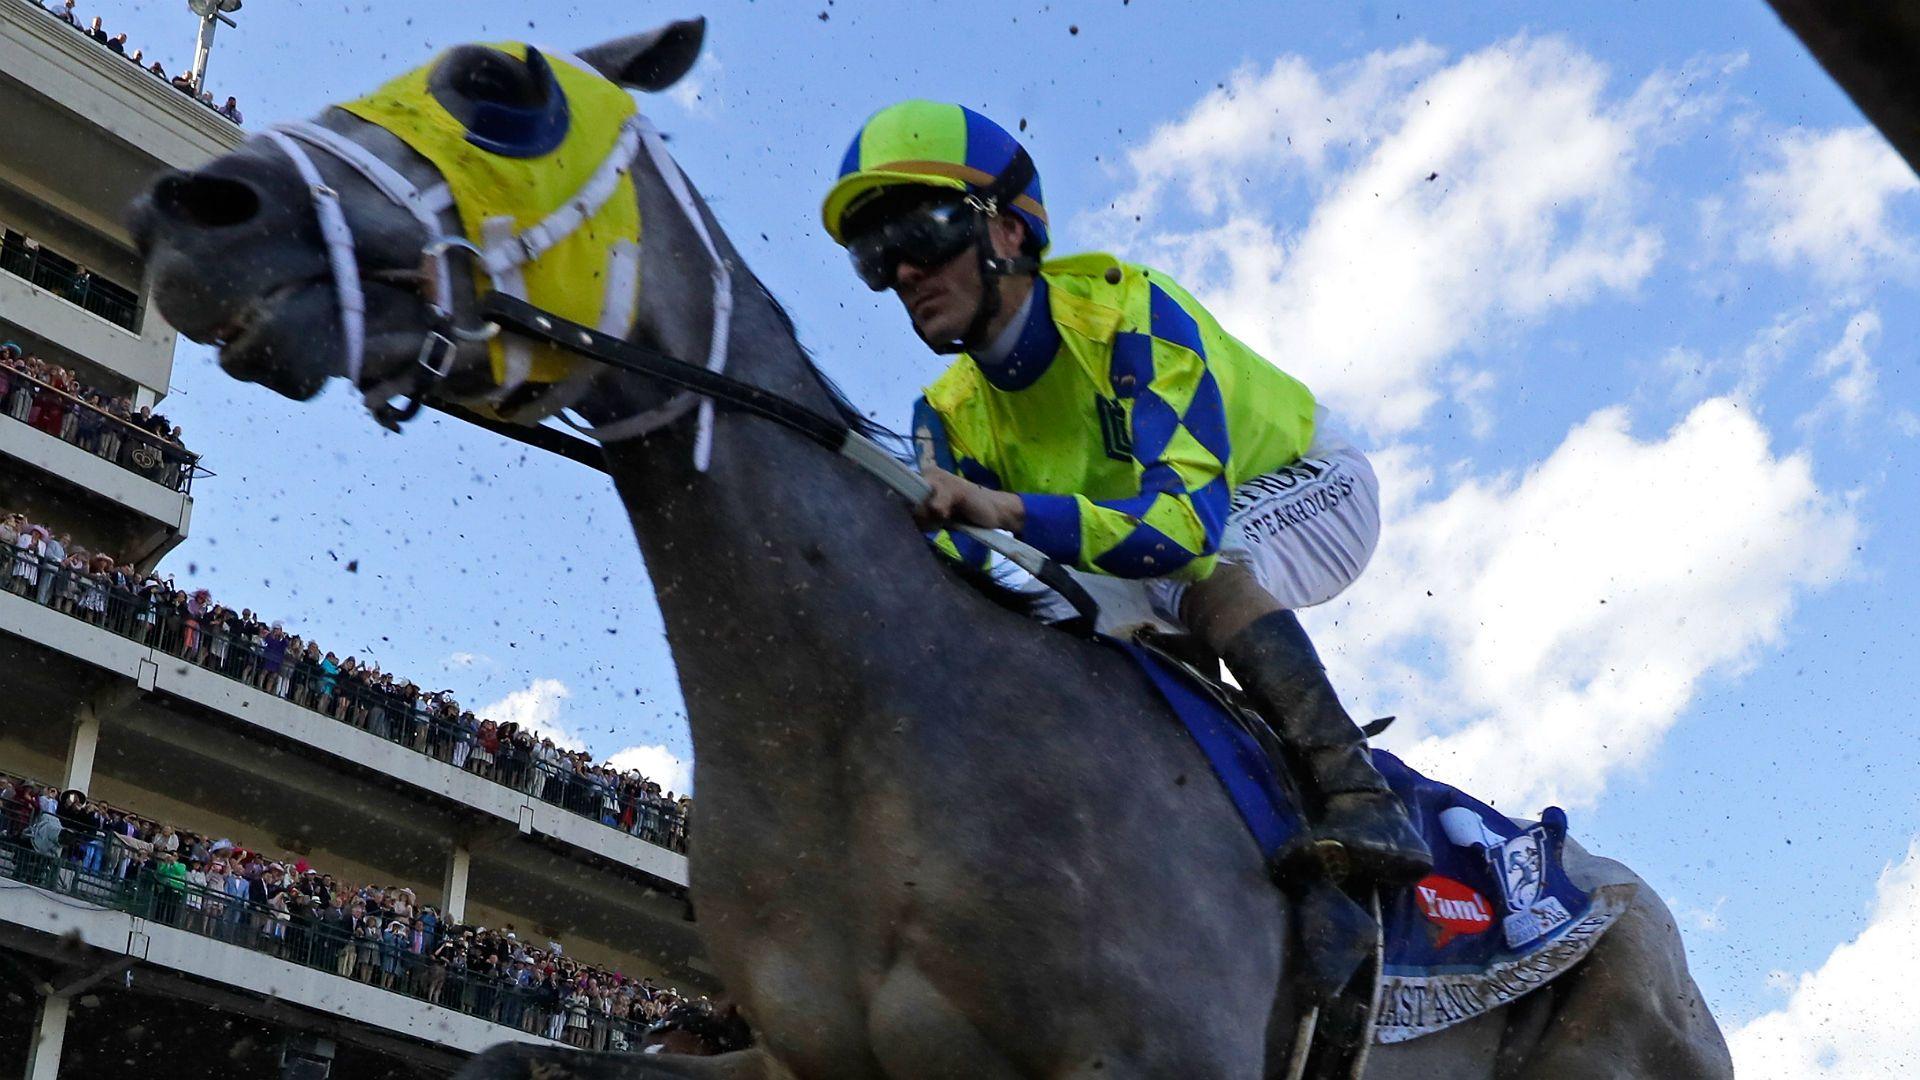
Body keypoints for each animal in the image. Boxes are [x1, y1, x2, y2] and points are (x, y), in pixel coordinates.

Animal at [127, 18, 1735, 1076]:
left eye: (499, 88)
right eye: (880, 244)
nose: (199, 208)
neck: (871, 724)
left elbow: (1176, 512)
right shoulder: (817, 1065)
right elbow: (513, 1058)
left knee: (1223, 563)